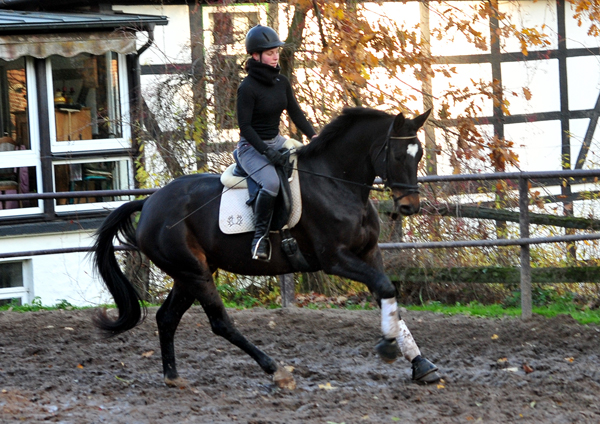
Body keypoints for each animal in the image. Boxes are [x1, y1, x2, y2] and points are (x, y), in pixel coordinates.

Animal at [92, 107, 440, 390]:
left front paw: (420, 364)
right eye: (398, 156)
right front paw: (388, 346)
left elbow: (388, 294)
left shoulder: (369, 253)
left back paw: (173, 376)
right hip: (194, 272)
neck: (336, 183)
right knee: (220, 323)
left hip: (189, 274)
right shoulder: (335, 259)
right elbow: (384, 288)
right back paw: (276, 371)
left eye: (419, 153)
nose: (410, 206)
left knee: (166, 318)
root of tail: (149, 202)